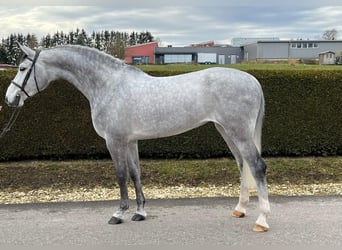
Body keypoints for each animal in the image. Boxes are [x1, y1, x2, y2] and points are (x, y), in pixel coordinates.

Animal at [4, 44, 270, 231]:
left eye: (22, 69)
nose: (9, 98)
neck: (108, 85)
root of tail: (253, 80)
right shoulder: (131, 141)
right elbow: (135, 174)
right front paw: (140, 212)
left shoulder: (115, 141)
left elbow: (121, 176)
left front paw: (118, 214)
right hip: (226, 131)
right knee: (243, 165)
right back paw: (240, 209)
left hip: (239, 132)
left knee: (257, 166)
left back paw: (262, 220)